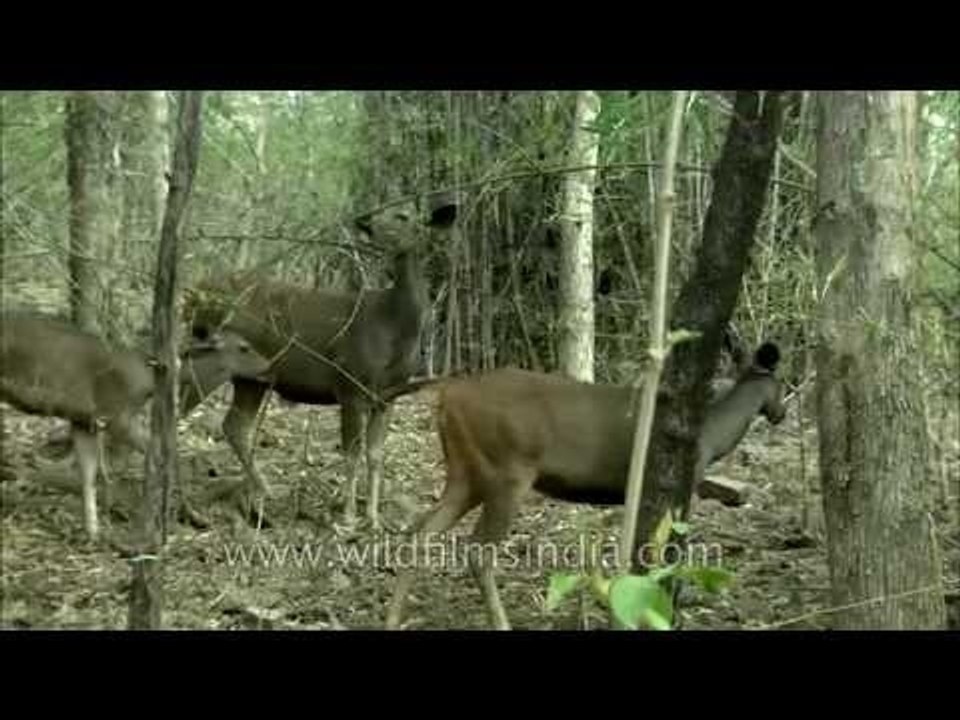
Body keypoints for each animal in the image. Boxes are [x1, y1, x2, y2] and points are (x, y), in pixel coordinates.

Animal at [0, 310, 273, 540]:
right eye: (244, 347)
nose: (269, 366)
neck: (147, 382)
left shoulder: (85, 419)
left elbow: (90, 474)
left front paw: (95, 532)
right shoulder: (117, 416)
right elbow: (165, 455)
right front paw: (192, 517)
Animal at [179, 196, 458, 528]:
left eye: (403, 216)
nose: (365, 222)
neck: (393, 331)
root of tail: (191, 294)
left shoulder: (388, 395)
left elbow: (376, 455)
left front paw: (374, 518)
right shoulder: (350, 384)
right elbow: (352, 452)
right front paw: (349, 516)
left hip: (251, 376)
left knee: (234, 425)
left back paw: (265, 490)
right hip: (208, 357)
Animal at [383, 342, 786, 630]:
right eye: (781, 385)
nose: (780, 413)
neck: (713, 436)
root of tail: (447, 396)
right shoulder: (684, 482)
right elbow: (667, 547)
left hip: (465, 474)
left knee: (419, 531)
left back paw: (392, 618)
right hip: (506, 471)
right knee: (478, 551)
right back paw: (501, 622)